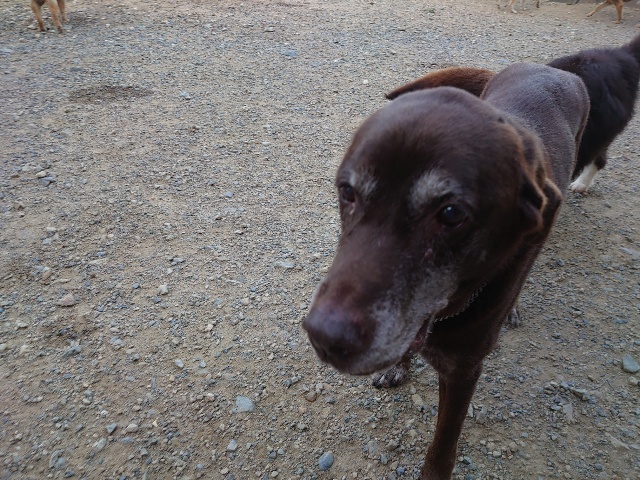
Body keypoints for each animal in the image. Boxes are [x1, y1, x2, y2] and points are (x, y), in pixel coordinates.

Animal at [303, 63, 589, 479]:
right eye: (348, 192)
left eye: (451, 213)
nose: (324, 338)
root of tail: (551, 67)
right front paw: (398, 366)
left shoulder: (464, 370)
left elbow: (444, 444)